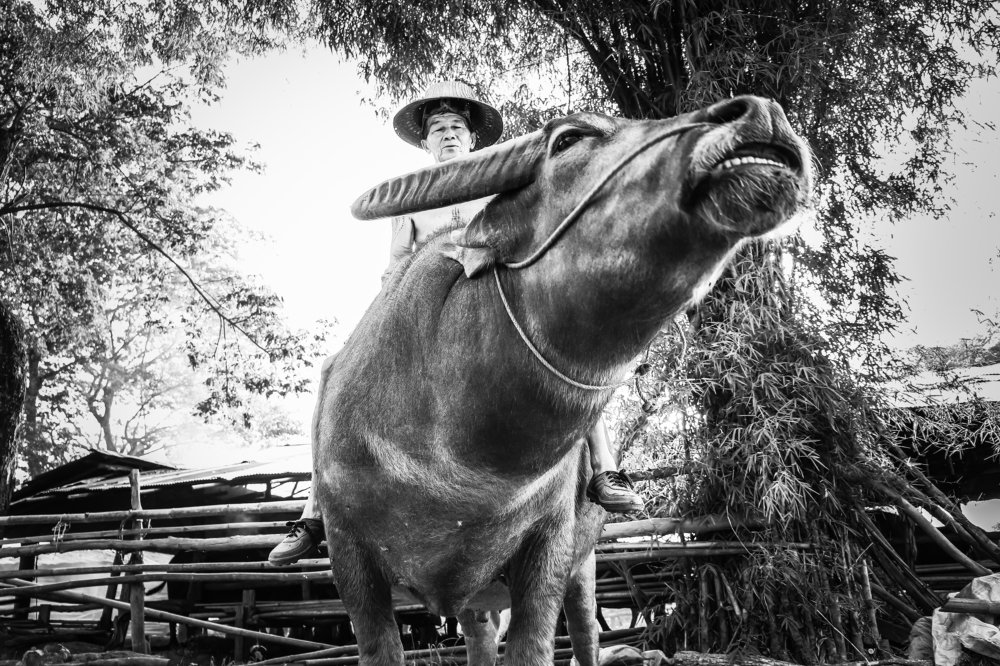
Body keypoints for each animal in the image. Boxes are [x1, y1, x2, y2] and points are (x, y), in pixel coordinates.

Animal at [315, 95, 813, 664]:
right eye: (569, 140)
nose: (762, 113)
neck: (453, 456)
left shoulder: (550, 546)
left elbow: (534, 645)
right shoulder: (349, 560)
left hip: (584, 567)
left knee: (584, 631)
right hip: (477, 602)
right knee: (481, 638)